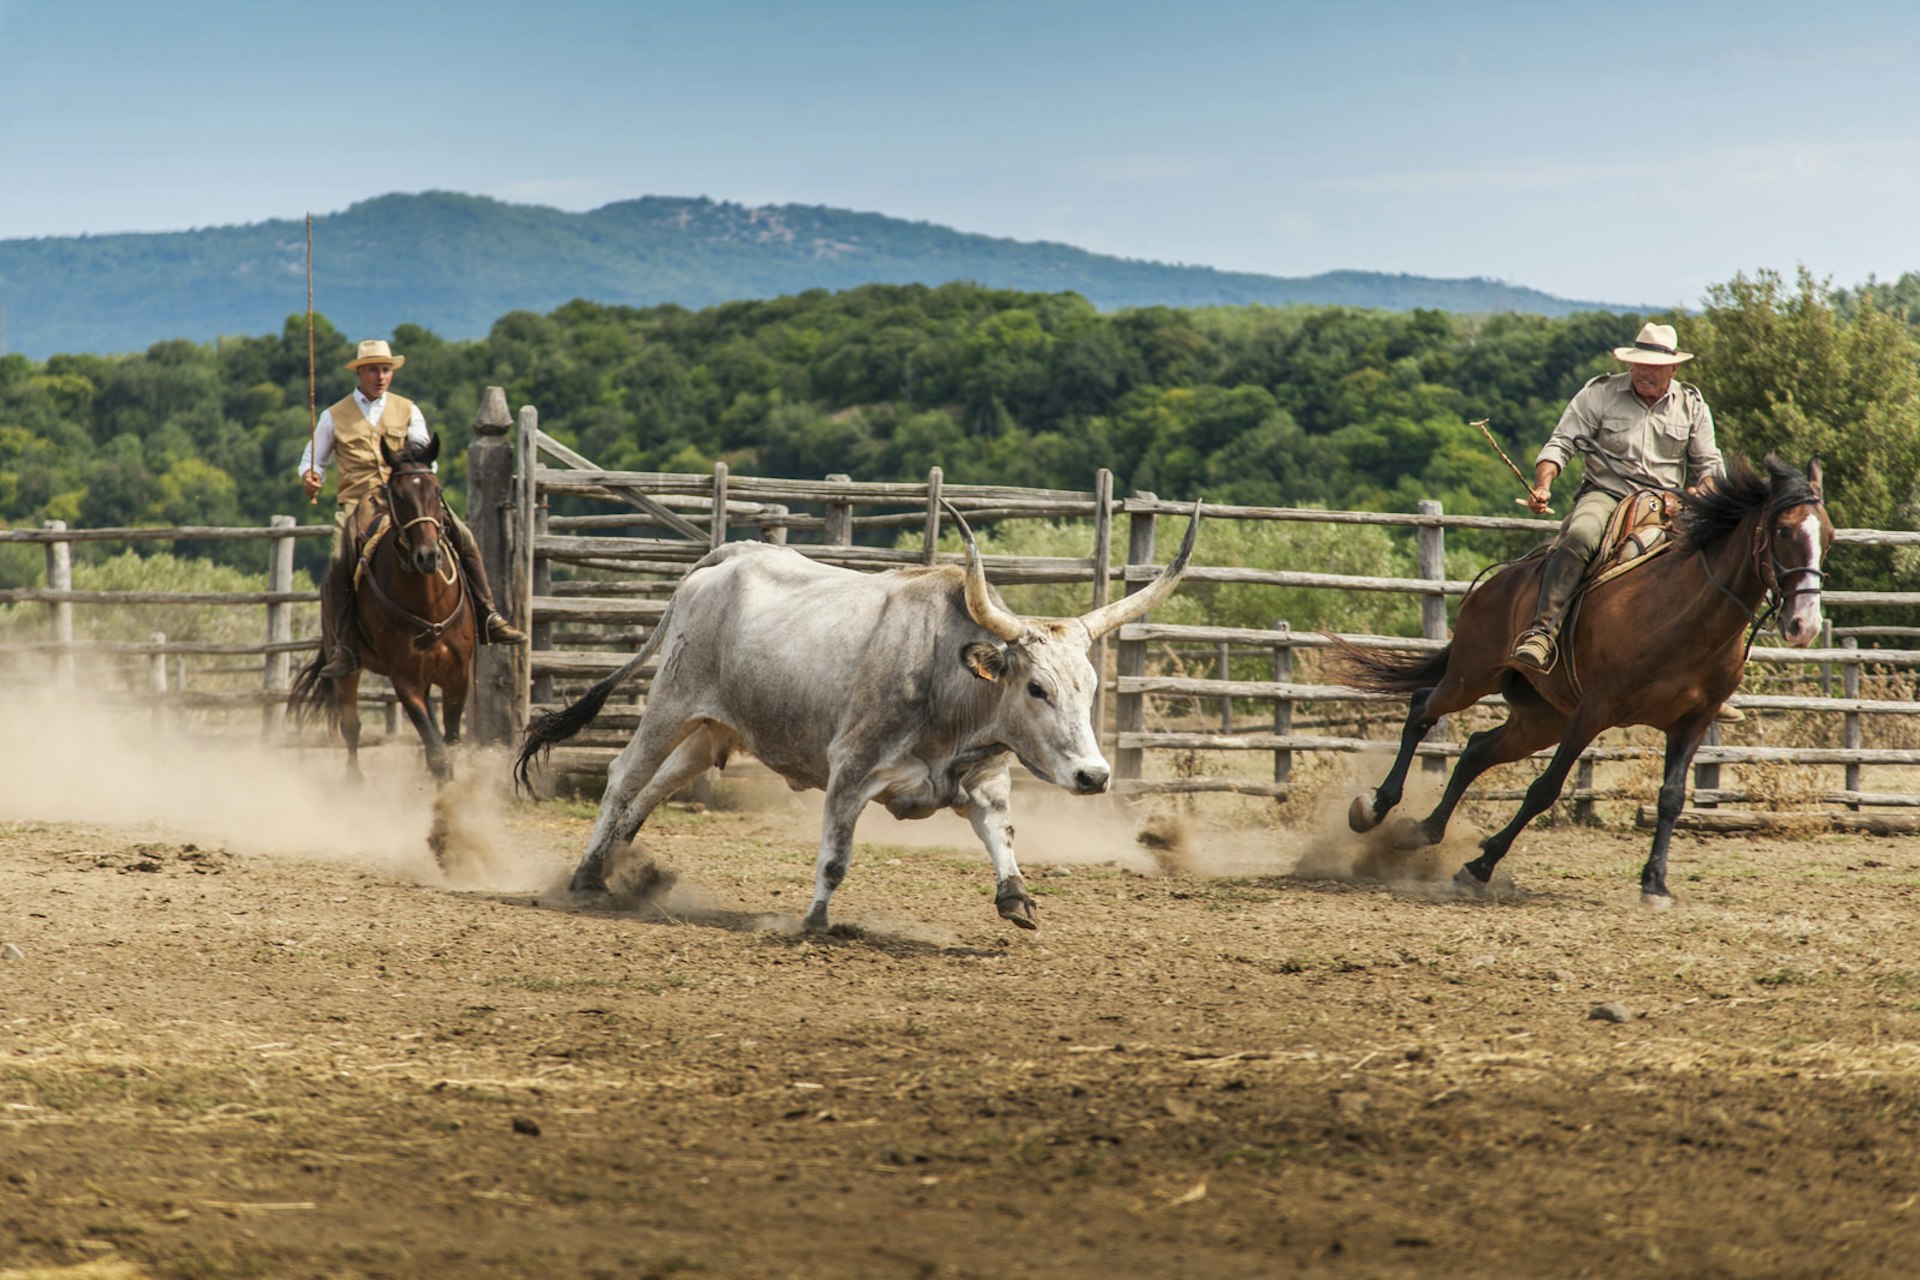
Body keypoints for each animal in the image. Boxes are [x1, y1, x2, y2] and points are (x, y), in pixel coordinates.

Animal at [288, 437, 476, 782]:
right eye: (398, 495)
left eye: (437, 490)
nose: (427, 556)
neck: (428, 605)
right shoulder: (405, 679)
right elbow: (436, 749)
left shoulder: (457, 675)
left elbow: (450, 741)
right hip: (345, 666)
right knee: (351, 725)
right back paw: (354, 781)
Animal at [1328, 454, 1835, 905]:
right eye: (1784, 531)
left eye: (1828, 536)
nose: (1804, 624)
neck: (1680, 614)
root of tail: (1499, 581)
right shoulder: (1594, 711)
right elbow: (1545, 790)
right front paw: (1480, 866)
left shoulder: (1692, 722)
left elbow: (1671, 798)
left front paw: (1655, 884)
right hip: (1472, 677)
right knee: (1421, 707)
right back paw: (1373, 809)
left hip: (1541, 717)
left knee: (1474, 751)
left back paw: (1422, 831)